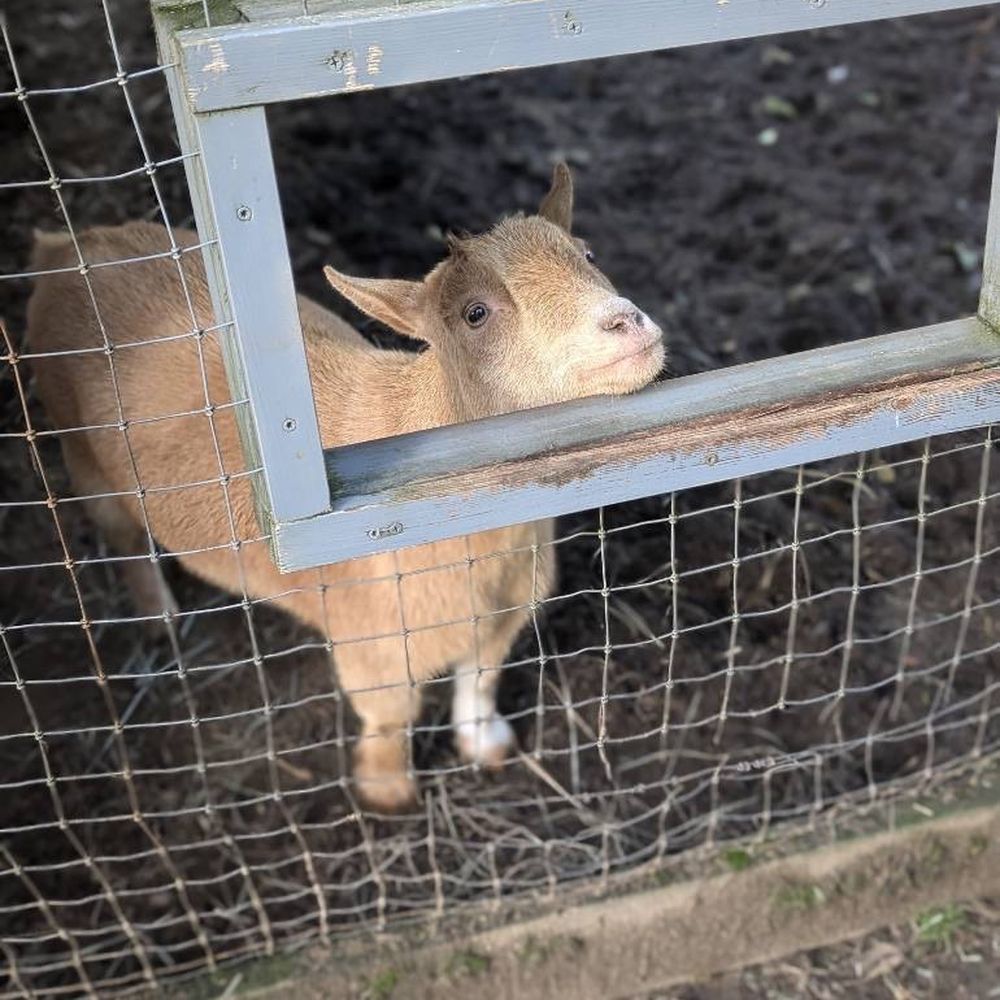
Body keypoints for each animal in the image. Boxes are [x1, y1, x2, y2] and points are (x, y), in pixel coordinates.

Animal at [27, 164, 665, 811]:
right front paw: (389, 793)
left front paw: (485, 747)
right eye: (475, 313)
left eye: (587, 253)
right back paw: (159, 616)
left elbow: (481, 683)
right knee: (123, 536)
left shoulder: (504, 615)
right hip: (81, 454)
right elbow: (390, 715)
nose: (625, 322)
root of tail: (65, 248)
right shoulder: (376, 645)